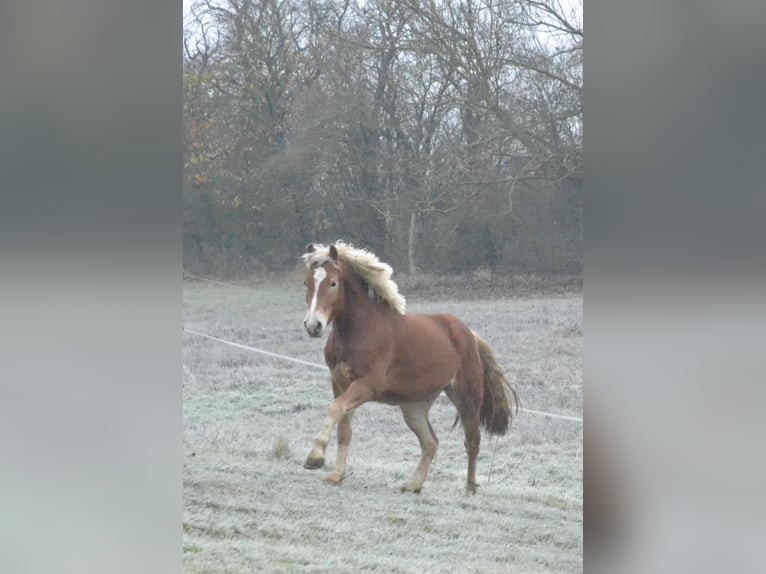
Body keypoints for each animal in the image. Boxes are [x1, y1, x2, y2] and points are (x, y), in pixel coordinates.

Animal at [300, 242, 520, 496]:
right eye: (306, 282)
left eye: (333, 283)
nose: (313, 326)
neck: (360, 329)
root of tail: (469, 335)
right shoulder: (340, 384)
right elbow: (343, 428)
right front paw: (336, 475)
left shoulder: (367, 385)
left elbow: (335, 409)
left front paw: (315, 457)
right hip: (414, 407)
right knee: (431, 442)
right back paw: (413, 484)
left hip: (466, 398)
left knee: (472, 442)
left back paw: (468, 490)